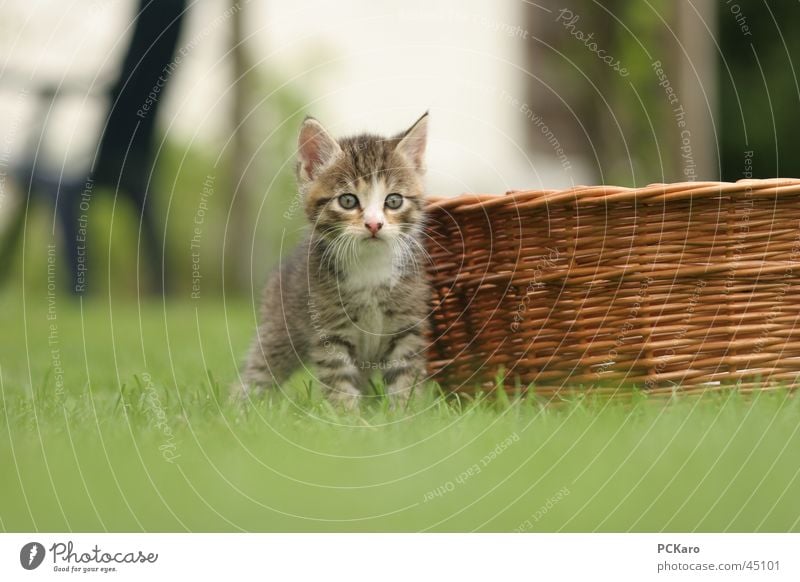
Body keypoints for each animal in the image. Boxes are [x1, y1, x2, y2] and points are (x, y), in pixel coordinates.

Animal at [234, 112, 434, 408]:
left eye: (394, 201)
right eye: (348, 201)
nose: (374, 224)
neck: (369, 266)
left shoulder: (407, 325)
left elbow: (404, 378)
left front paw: (404, 413)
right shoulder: (330, 329)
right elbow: (339, 380)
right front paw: (347, 416)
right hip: (280, 327)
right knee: (259, 368)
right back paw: (239, 407)